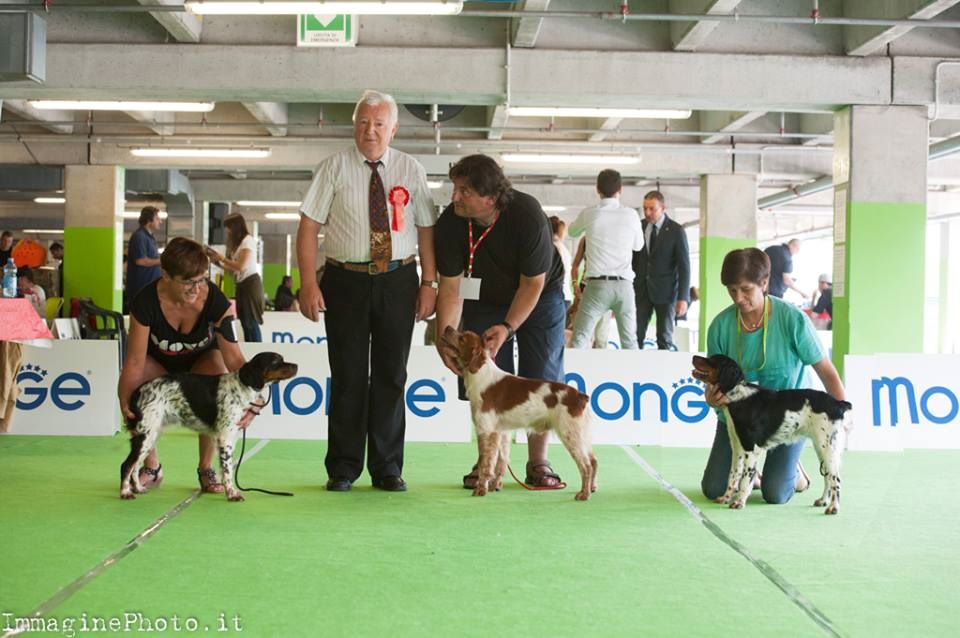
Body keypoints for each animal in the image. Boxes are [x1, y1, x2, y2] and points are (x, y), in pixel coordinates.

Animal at [122, 352, 298, 502]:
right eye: (275, 361)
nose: (296, 365)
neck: (242, 387)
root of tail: (139, 390)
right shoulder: (225, 438)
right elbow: (227, 470)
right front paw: (232, 494)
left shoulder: (232, 436)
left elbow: (226, 468)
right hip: (146, 435)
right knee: (127, 465)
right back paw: (125, 492)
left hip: (152, 436)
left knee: (135, 466)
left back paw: (138, 488)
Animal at [438, 328, 596, 502]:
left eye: (462, 338)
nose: (447, 328)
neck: (481, 374)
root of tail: (580, 396)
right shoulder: (501, 433)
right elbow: (501, 463)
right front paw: (494, 487)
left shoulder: (486, 430)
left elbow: (486, 464)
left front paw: (481, 489)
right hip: (581, 434)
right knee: (594, 460)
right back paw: (592, 488)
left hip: (570, 434)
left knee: (586, 466)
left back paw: (584, 494)